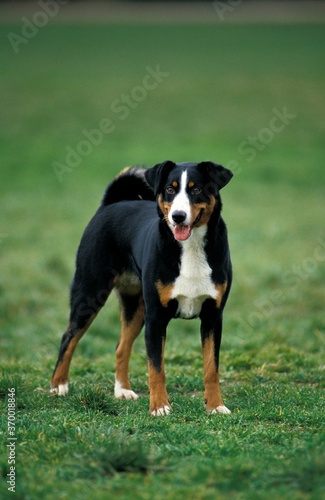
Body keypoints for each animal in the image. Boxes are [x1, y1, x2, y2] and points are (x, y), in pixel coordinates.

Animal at [50, 160, 233, 414]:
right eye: (170, 189)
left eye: (196, 189)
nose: (178, 216)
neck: (191, 248)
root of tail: (112, 203)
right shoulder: (156, 318)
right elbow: (156, 368)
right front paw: (160, 406)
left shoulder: (213, 317)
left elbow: (211, 368)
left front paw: (216, 406)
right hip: (90, 293)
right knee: (69, 337)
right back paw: (58, 386)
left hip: (136, 307)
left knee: (121, 346)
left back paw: (122, 391)